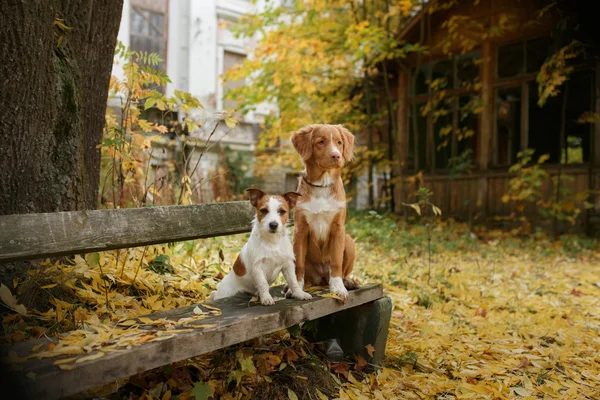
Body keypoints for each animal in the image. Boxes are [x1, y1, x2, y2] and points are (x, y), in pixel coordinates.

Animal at [290, 123, 356, 302]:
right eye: (321, 142)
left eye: (340, 142)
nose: (336, 156)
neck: (322, 185)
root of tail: (320, 278)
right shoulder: (300, 229)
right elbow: (298, 265)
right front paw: (296, 289)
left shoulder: (338, 228)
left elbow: (336, 262)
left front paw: (338, 288)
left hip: (349, 240)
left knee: (342, 271)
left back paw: (348, 282)